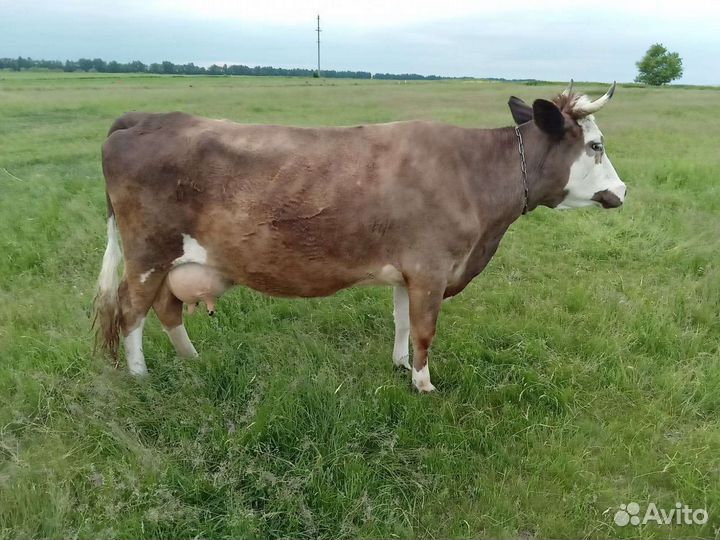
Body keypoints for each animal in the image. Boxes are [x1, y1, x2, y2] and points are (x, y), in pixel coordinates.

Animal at [94, 82, 626, 392]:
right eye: (596, 146)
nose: (622, 191)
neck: (475, 175)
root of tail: (146, 117)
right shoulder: (431, 269)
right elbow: (425, 329)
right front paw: (425, 386)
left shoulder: (408, 271)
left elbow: (401, 323)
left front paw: (401, 367)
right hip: (147, 252)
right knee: (131, 310)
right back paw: (141, 376)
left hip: (176, 260)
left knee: (166, 308)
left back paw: (193, 360)